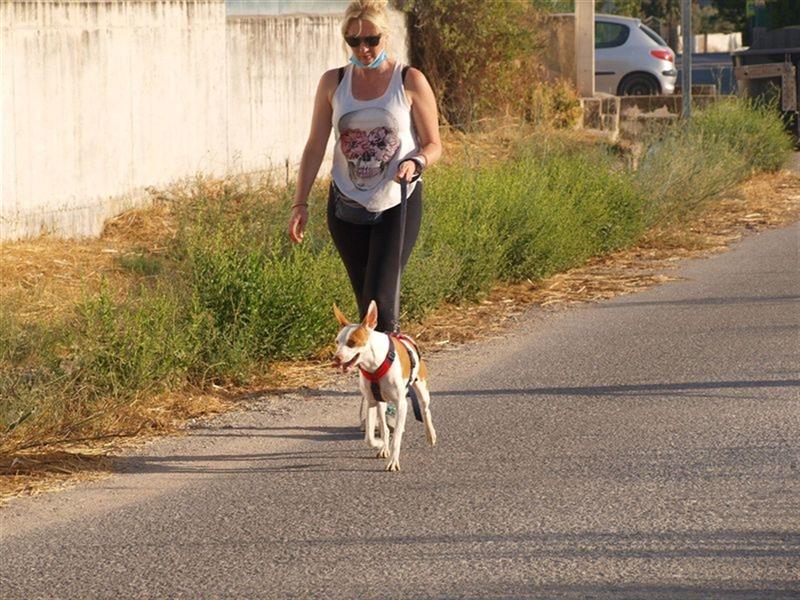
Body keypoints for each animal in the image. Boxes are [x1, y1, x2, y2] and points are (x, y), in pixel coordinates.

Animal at [332, 298, 438, 468]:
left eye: (352, 342)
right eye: (337, 342)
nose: (335, 359)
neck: (374, 365)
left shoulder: (401, 404)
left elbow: (397, 439)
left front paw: (394, 461)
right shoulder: (371, 402)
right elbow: (369, 437)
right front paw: (380, 444)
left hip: (422, 390)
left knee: (425, 410)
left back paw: (430, 434)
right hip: (381, 402)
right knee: (384, 426)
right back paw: (384, 445)